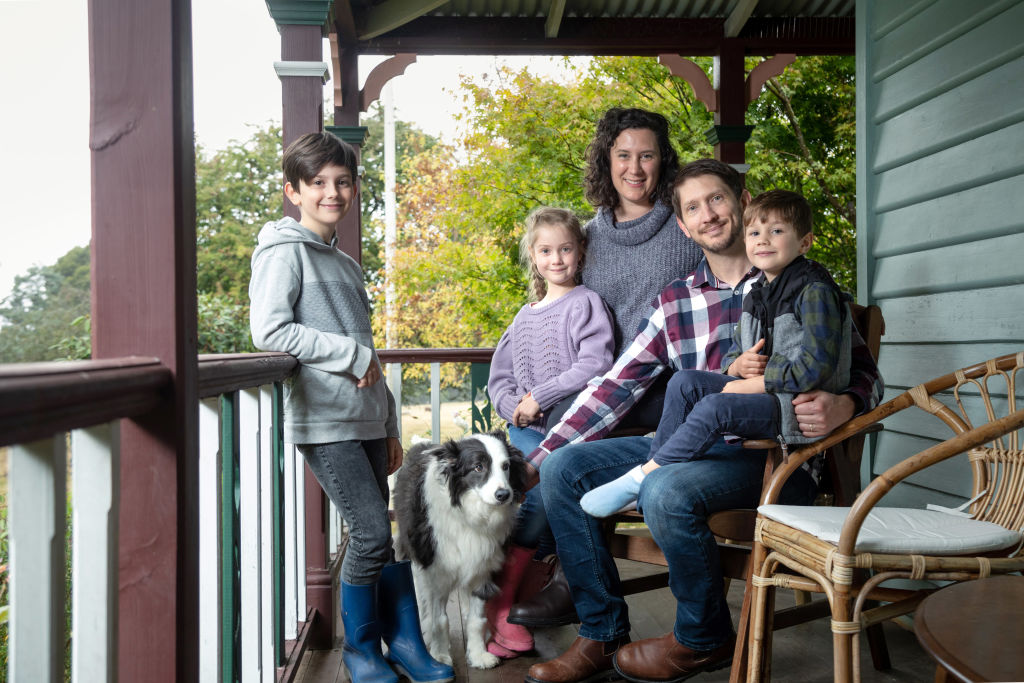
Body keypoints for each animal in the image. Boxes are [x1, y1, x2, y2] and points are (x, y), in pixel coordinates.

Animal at [393, 432, 528, 667]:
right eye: (478, 467)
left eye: (506, 466)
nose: (504, 494)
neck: (469, 511)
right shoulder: (435, 572)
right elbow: (439, 620)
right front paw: (439, 655)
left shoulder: (481, 570)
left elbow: (476, 619)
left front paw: (478, 655)